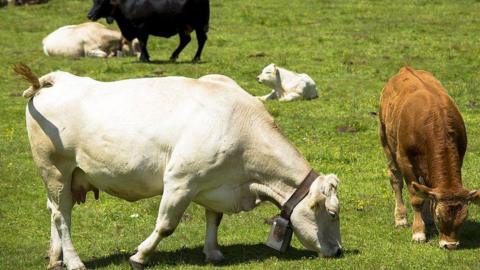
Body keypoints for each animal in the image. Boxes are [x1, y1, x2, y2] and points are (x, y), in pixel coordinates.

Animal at [15, 65, 342, 270]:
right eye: (333, 213)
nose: (338, 250)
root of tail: (54, 80)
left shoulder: (215, 183)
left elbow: (214, 218)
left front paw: (213, 252)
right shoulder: (180, 181)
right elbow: (166, 225)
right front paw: (140, 256)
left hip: (66, 177)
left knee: (56, 211)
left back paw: (55, 258)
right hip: (55, 169)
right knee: (62, 216)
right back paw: (74, 261)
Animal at [378, 66, 480, 249]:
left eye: (464, 217)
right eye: (440, 216)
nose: (450, 245)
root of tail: (405, 69)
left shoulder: (460, 155)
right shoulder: (405, 159)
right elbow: (416, 198)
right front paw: (418, 232)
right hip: (386, 140)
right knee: (395, 179)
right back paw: (400, 218)